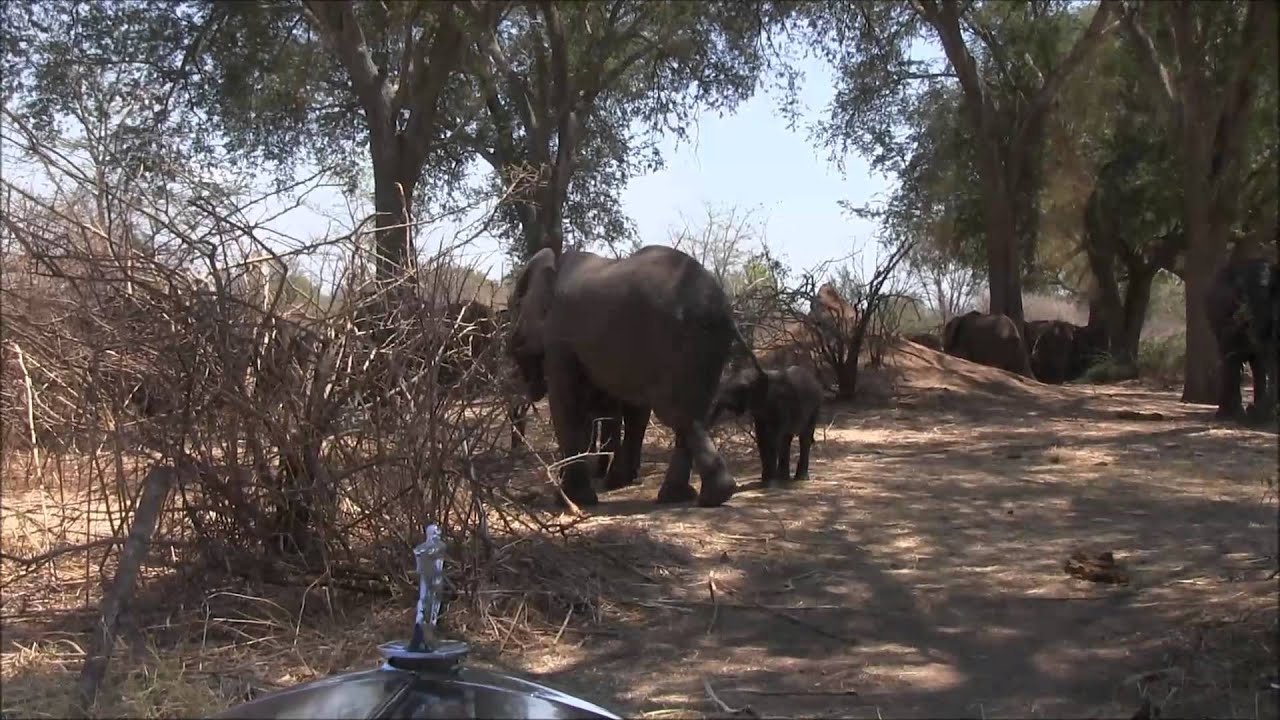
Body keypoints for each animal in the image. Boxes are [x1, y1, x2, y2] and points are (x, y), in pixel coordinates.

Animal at [507, 245, 757, 508]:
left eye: (516, 306)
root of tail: (720, 308)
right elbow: (626, 410)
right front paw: (607, 484)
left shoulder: (560, 337)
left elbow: (568, 405)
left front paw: (574, 500)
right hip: (706, 348)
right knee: (693, 412)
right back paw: (685, 495)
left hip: (678, 343)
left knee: (678, 414)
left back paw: (707, 495)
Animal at [1205, 257, 1279, 423]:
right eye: (1241, 294)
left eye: (1271, 292)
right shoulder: (1226, 314)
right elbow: (1232, 357)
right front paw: (1238, 415)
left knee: (1256, 363)